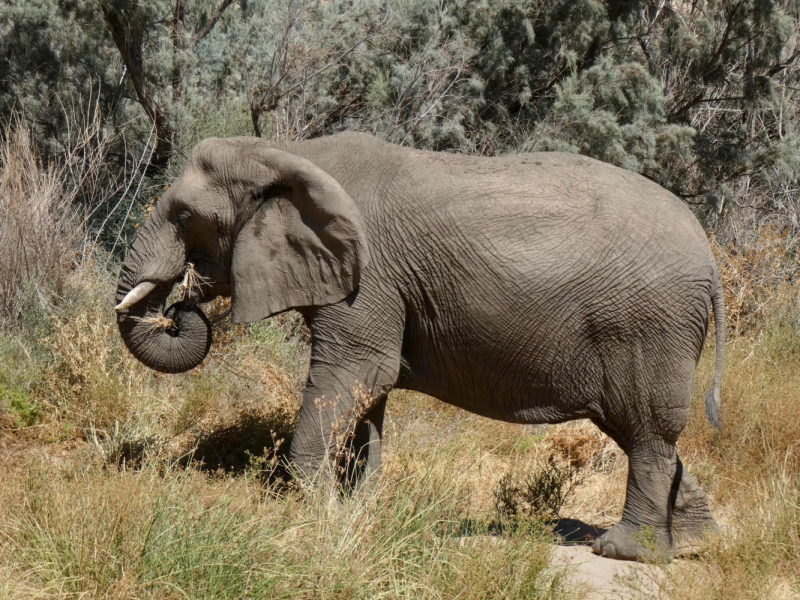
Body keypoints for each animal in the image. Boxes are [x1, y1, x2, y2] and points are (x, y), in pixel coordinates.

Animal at [117, 132, 724, 564]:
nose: (179, 304)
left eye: (185, 216)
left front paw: (314, 509)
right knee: (639, 429)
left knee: (646, 430)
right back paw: (695, 542)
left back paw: (625, 553)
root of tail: (711, 258)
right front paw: (357, 509)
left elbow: (358, 373)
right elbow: (368, 395)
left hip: (647, 325)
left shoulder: (369, 278)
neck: (287, 152)